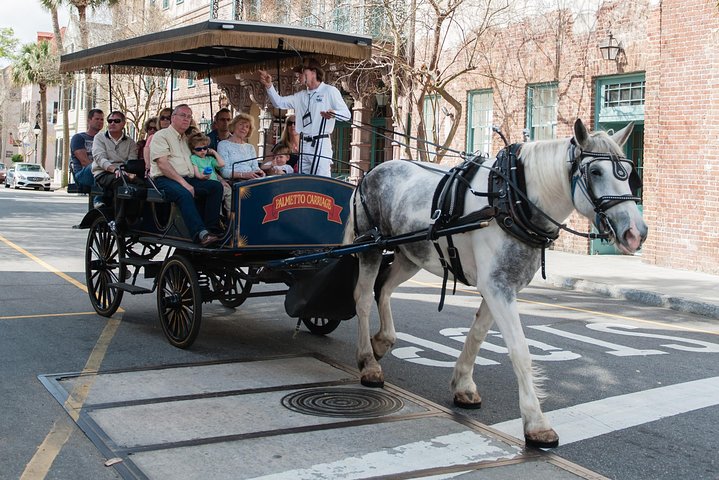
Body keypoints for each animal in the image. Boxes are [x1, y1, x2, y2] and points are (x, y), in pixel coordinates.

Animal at [343, 119, 648, 449]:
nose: (636, 232)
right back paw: (368, 363)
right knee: (362, 298)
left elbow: (477, 335)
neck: (512, 198)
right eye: (596, 172)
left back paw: (382, 341)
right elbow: (519, 350)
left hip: (411, 254)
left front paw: (463, 385)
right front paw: (537, 423)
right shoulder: (497, 287)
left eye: (629, 173)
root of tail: (370, 172)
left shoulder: (501, 285)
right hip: (371, 247)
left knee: (384, 288)